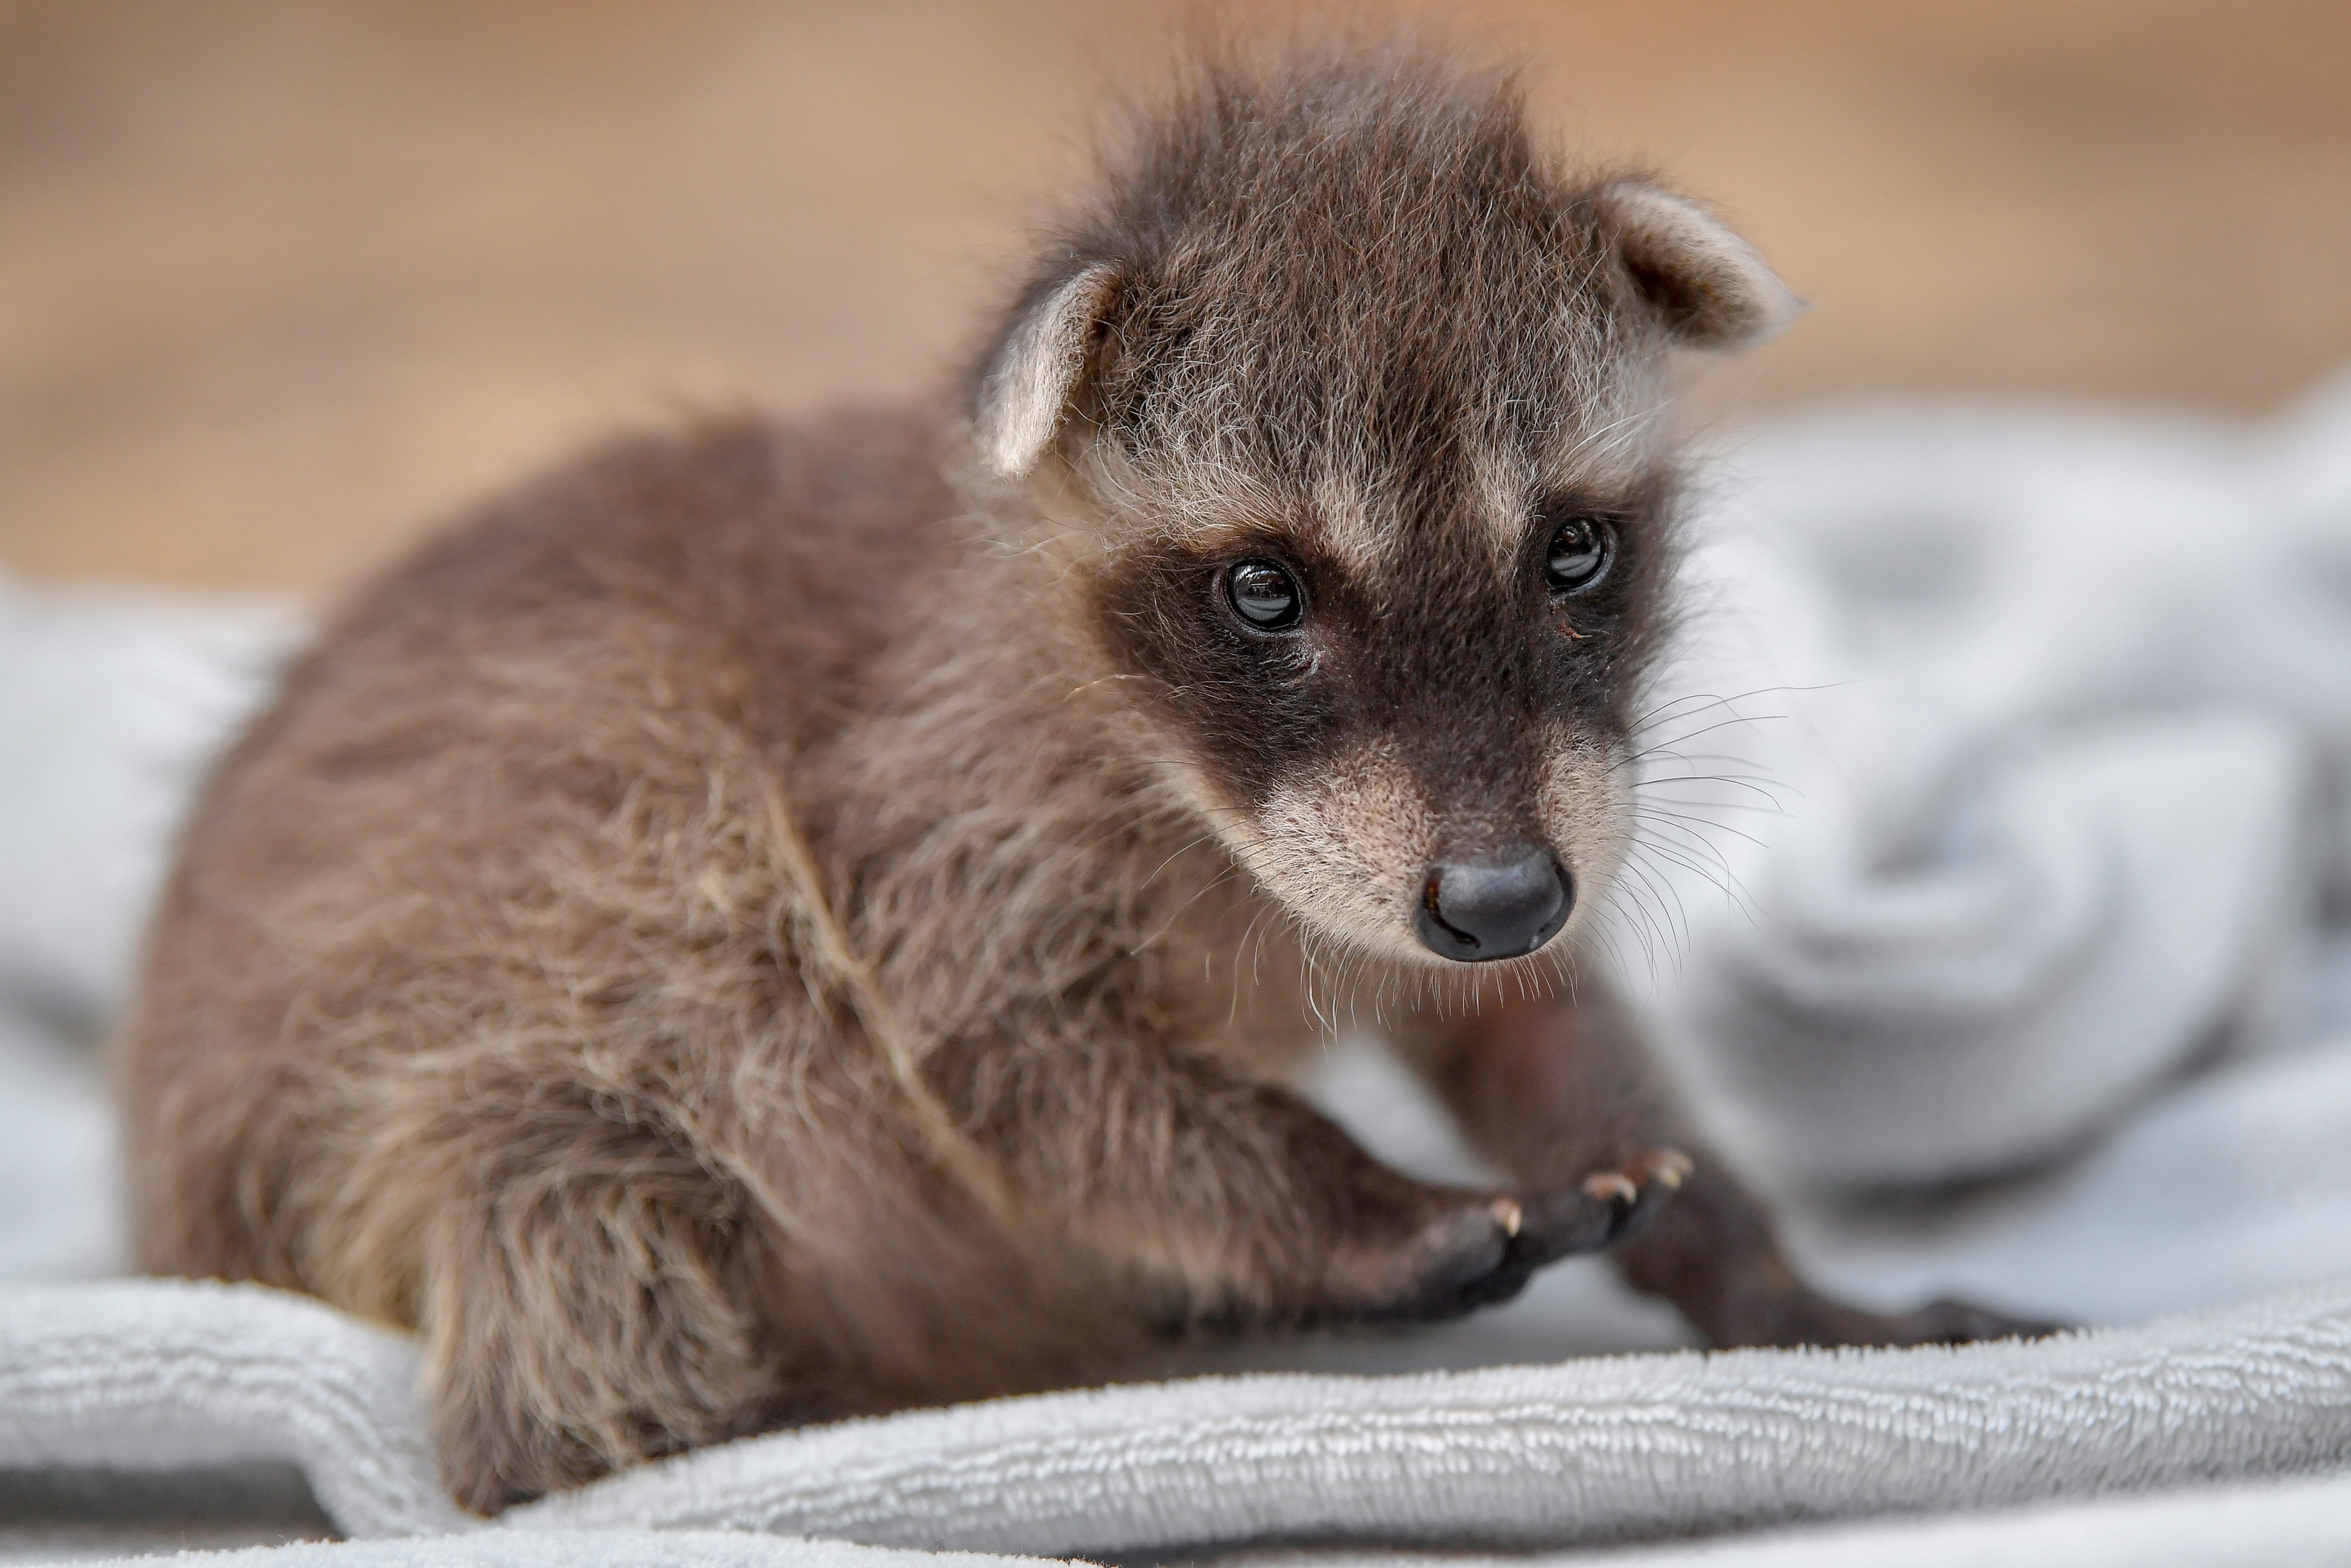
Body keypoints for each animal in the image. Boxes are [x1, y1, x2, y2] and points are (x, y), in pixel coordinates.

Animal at [124, 43, 2040, 1523]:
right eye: (1263, 588)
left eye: (1574, 550)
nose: (1498, 901)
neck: (1200, 800)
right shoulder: (917, 793)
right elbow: (1030, 1067)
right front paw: (1351, 1208)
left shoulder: (1517, 808)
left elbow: (1540, 1028)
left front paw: (1755, 1265)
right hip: (503, 990)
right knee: (575, 1228)